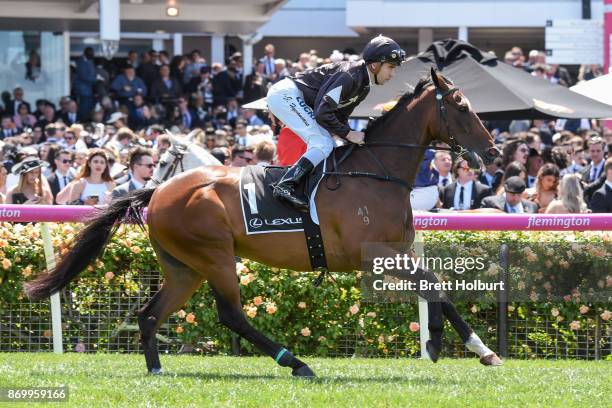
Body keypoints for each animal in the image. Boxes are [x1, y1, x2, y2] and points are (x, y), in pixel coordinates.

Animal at [25, 69, 502, 376]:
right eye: (461, 106)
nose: (494, 152)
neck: (374, 171)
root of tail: (158, 192)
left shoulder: (398, 251)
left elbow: (437, 287)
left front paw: (476, 349)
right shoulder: (374, 256)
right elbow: (435, 284)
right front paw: (443, 343)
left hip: (183, 267)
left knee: (150, 314)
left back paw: (157, 368)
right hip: (215, 256)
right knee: (231, 315)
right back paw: (296, 363)